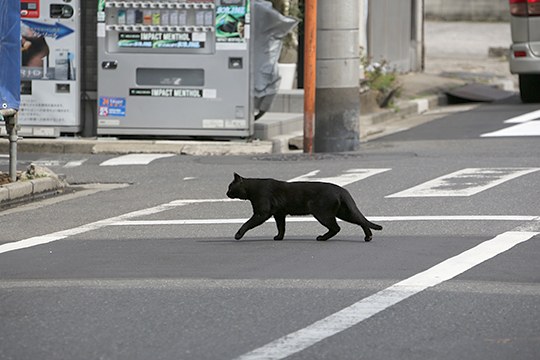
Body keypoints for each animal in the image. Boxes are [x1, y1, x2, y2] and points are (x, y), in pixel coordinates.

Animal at [226, 172, 382, 240]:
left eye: (230, 187)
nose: (226, 193)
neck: (251, 189)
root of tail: (341, 190)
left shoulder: (262, 213)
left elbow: (247, 223)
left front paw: (238, 235)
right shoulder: (279, 214)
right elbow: (281, 227)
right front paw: (279, 237)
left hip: (323, 214)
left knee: (336, 227)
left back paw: (321, 238)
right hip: (343, 212)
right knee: (360, 221)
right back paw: (368, 237)